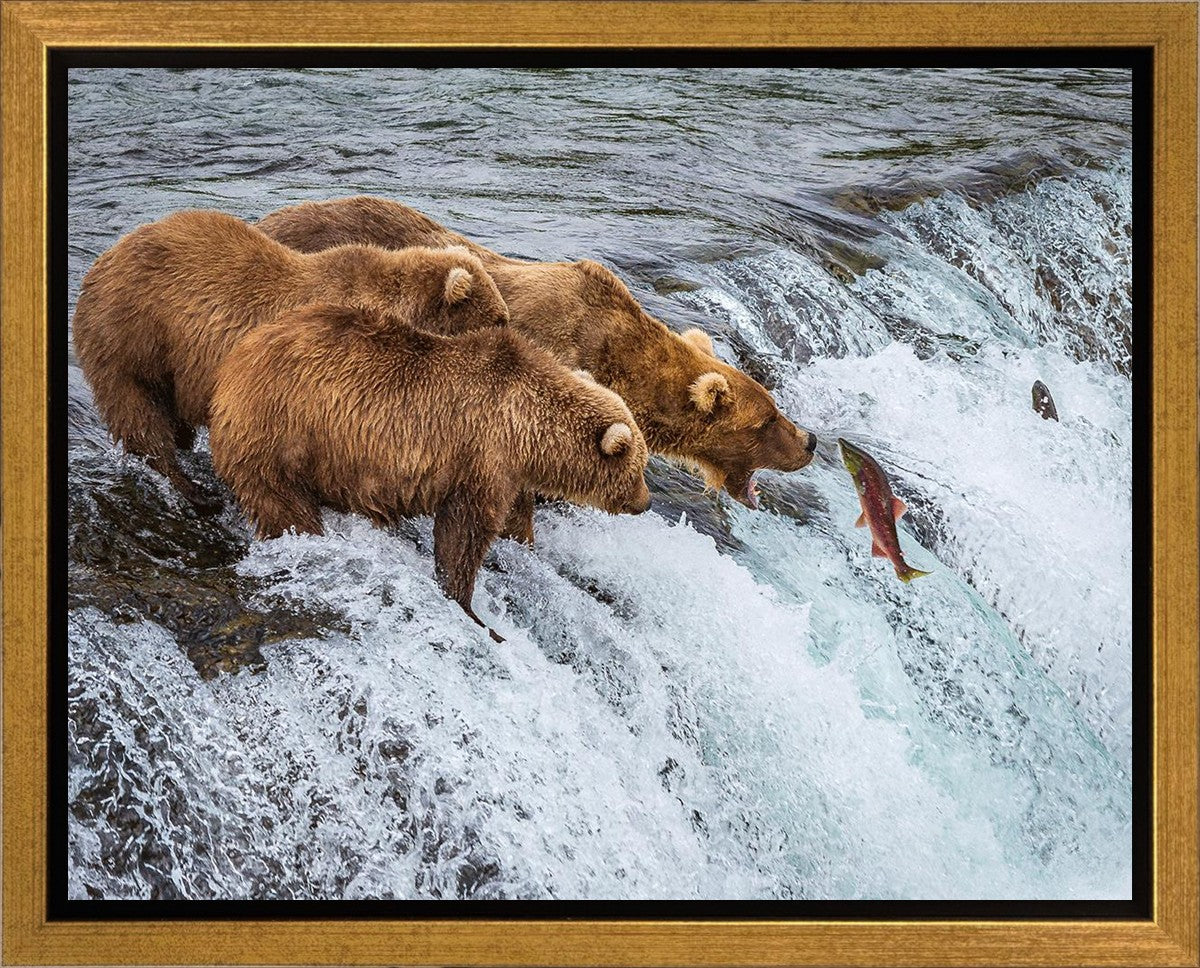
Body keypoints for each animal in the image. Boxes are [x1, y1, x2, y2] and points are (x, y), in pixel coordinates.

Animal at [72, 209, 510, 508]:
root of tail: (102, 261)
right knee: (139, 414)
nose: (512, 334)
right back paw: (191, 488)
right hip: (133, 336)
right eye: (499, 318)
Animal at [209, 302, 652, 641]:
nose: (646, 502)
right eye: (639, 468)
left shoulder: (509, 472)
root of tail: (233, 365)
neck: (527, 429)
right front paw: (472, 609)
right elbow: (464, 533)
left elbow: (513, 520)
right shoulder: (481, 456)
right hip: (282, 433)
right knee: (283, 504)